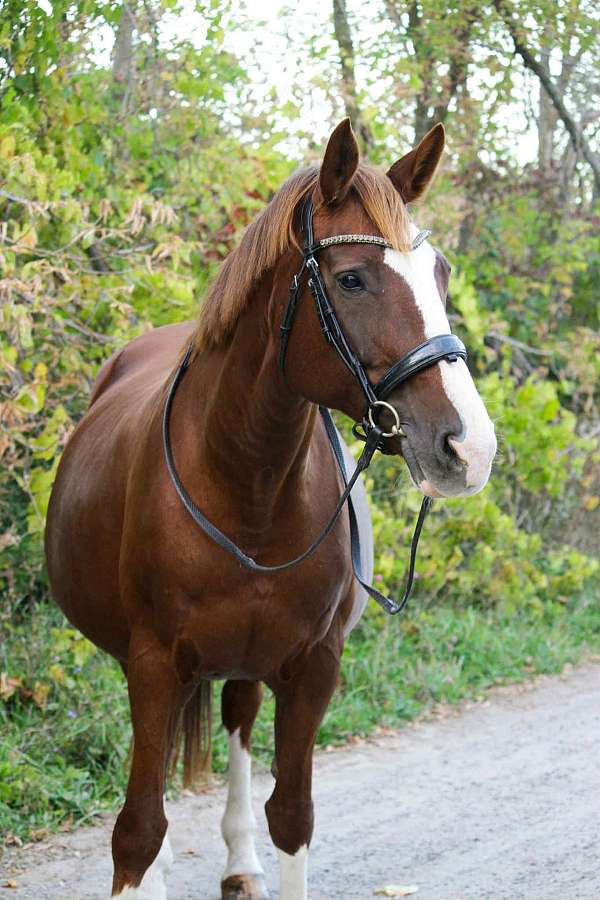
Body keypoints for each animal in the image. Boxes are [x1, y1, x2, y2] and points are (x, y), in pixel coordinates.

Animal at [45, 118, 497, 900]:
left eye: (439, 276)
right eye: (352, 278)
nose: (469, 446)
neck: (245, 486)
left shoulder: (312, 667)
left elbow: (292, 815)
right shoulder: (153, 663)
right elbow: (136, 830)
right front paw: (149, 864)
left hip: (248, 664)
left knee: (236, 720)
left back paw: (239, 862)